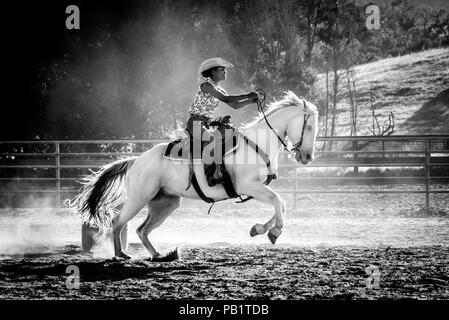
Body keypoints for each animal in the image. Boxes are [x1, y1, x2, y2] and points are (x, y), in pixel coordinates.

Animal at [71, 90, 318, 260]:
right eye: (310, 127)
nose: (307, 156)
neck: (257, 142)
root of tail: (137, 160)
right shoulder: (249, 186)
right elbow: (278, 201)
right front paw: (274, 231)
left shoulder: (258, 188)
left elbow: (280, 204)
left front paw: (259, 229)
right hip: (139, 198)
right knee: (118, 221)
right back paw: (120, 254)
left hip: (165, 203)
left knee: (142, 230)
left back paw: (158, 255)